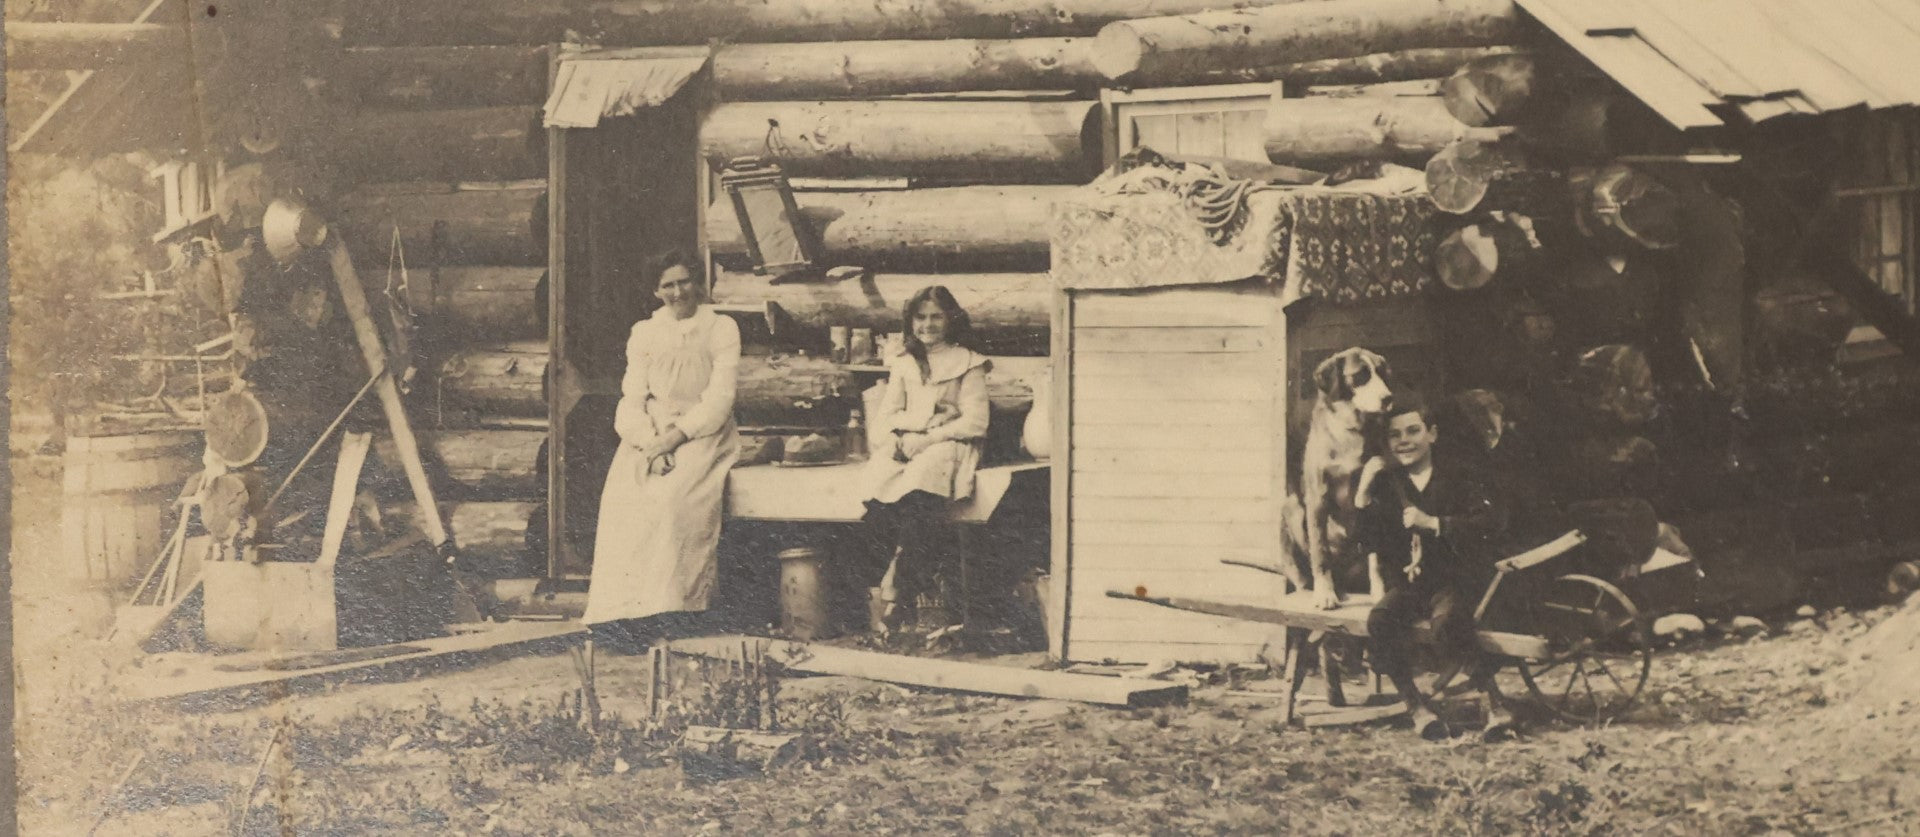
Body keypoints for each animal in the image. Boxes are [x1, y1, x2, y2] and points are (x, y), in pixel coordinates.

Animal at [1282, 343, 1390, 610]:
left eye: (1382, 373)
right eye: (1360, 375)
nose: (1388, 398)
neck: (1350, 429)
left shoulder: (1379, 498)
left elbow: (1376, 464)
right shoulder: (1317, 499)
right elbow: (1320, 553)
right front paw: (1325, 594)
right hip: (1291, 507)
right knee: (1303, 574)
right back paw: (1323, 590)